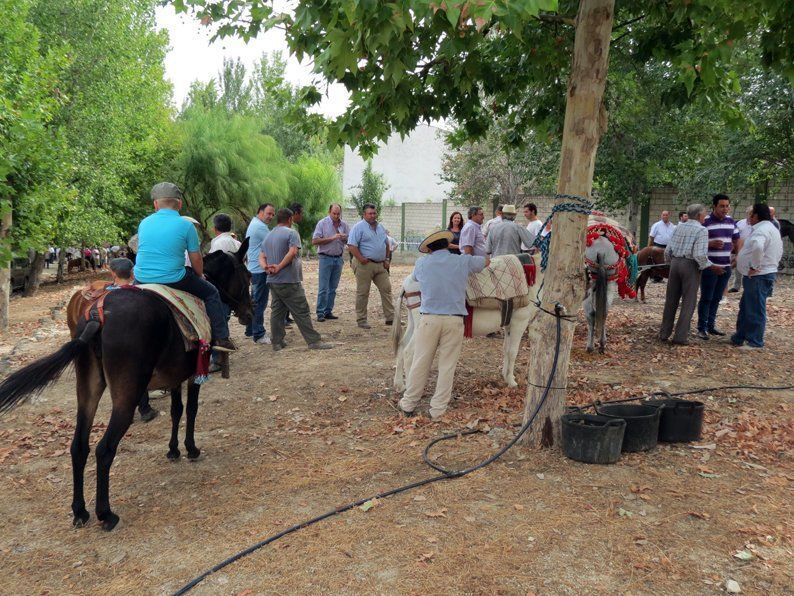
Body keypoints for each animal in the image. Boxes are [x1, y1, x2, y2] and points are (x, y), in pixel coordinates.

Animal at [0, 242, 251, 532]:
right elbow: (190, 410)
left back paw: (80, 511)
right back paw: (105, 514)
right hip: (125, 395)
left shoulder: (174, 376)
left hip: (88, 388)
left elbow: (176, 411)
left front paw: (173, 449)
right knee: (104, 449)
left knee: (79, 446)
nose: (249, 313)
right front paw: (190, 448)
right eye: (247, 276)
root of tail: (96, 315)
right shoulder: (192, 374)